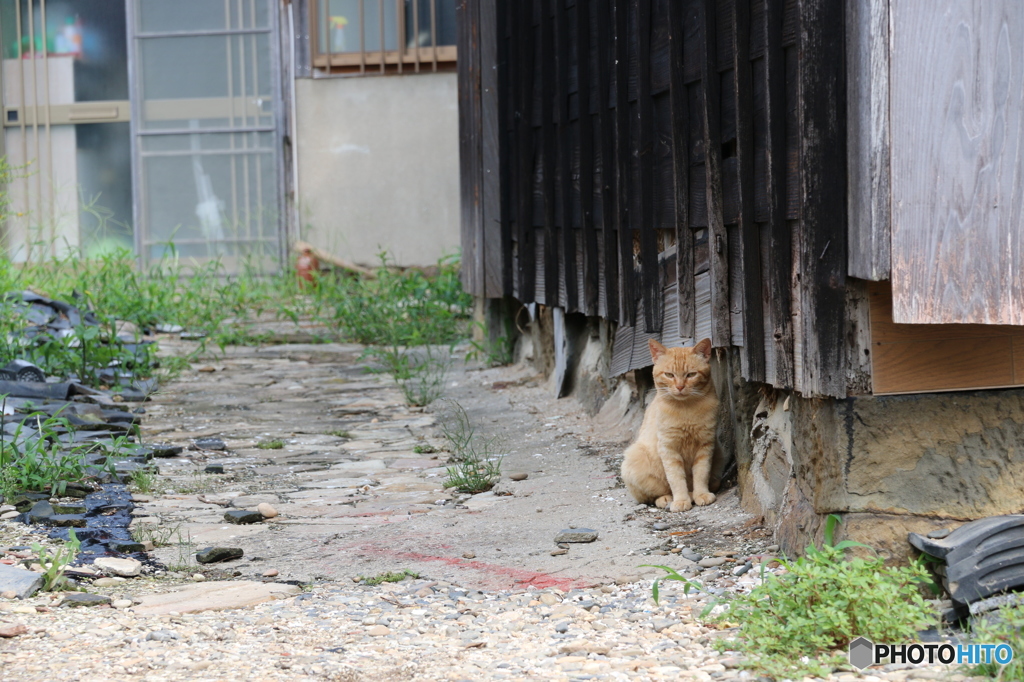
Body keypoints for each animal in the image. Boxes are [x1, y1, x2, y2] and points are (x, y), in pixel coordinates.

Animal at [614, 337, 720, 509]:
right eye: (669, 375)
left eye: (691, 374)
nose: (680, 386)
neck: (686, 409)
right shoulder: (668, 448)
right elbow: (676, 478)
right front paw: (681, 500)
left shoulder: (706, 445)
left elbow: (701, 474)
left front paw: (701, 494)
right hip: (634, 460)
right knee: (654, 495)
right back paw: (667, 499)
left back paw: (693, 494)